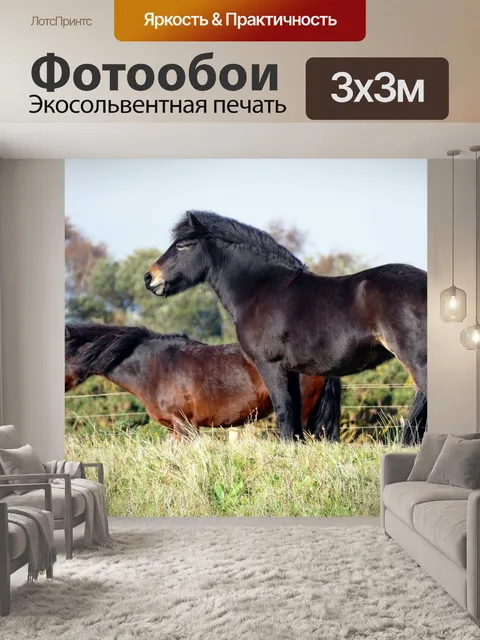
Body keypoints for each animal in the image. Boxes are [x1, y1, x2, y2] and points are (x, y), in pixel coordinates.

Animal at [144, 210, 427, 443]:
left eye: (182, 245)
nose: (150, 277)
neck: (261, 290)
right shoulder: (291, 371)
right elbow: (293, 417)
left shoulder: (271, 366)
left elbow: (284, 412)